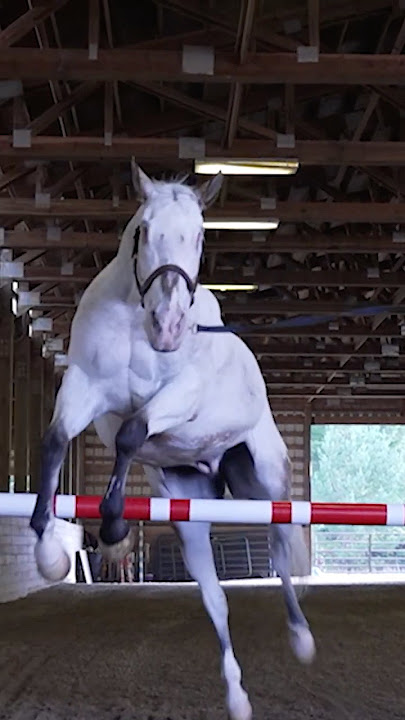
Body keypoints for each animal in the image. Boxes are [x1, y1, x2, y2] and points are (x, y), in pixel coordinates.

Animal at [29, 160, 315, 720]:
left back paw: (300, 638)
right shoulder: (84, 387)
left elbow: (133, 433)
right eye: (144, 230)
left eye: (201, 235)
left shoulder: (182, 397)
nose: (169, 327)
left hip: (267, 481)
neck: (135, 319)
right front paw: (50, 550)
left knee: (277, 547)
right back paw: (237, 696)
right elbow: (56, 442)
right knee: (215, 598)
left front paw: (114, 527)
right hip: (188, 506)